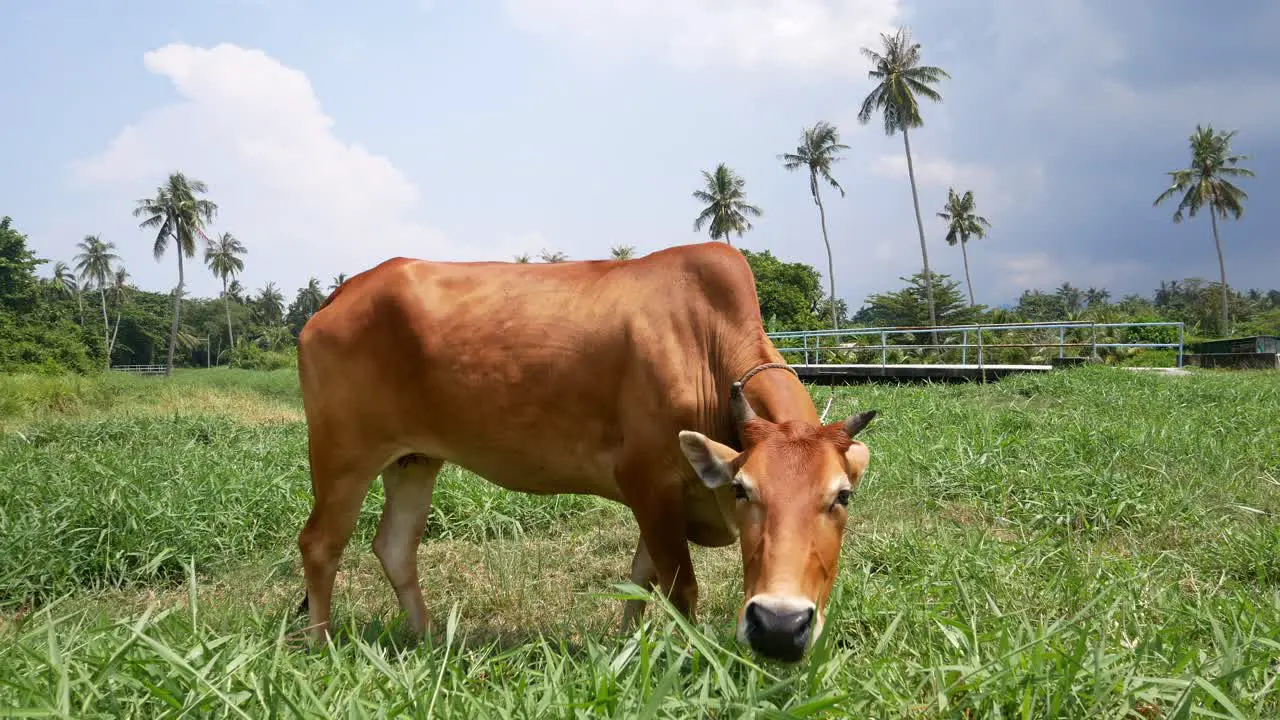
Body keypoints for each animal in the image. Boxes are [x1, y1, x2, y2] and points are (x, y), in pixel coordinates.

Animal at [294, 242, 875, 661]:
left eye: (842, 496)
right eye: (742, 490)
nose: (779, 625)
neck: (705, 346)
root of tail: (345, 290)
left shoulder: (665, 499)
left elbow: (641, 580)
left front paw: (629, 650)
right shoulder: (648, 481)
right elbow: (680, 588)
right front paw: (690, 658)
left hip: (413, 459)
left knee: (395, 546)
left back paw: (429, 642)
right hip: (343, 455)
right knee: (320, 543)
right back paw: (322, 649)